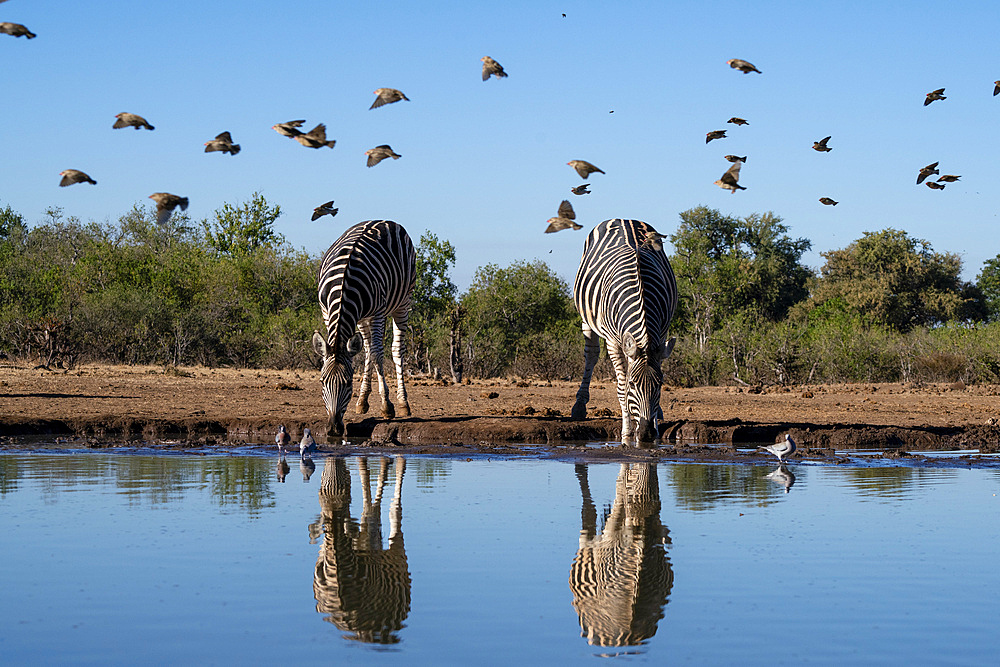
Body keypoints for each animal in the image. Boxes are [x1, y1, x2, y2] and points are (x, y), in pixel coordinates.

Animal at [310, 220, 416, 438]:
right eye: (322, 381)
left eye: (348, 383)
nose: (333, 429)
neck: (342, 285)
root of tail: (385, 220)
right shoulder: (326, 311)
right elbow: (364, 352)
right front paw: (365, 401)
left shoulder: (378, 312)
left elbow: (378, 354)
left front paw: (387, 407)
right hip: (362, 317)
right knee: (365, 348)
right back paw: (362, 401)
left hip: (403, 302)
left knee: (395, 350)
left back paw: (403, 404)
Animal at [572, 219, 680, 444]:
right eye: (633, 384)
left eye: (661, 384)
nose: (647, 434)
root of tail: (623, 218)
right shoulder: (613, 341)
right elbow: (621, 389)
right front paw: (627, 432)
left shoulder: (661, 334)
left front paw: (655, 425)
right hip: (587, 318)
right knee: (591, 355)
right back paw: (579, 406)